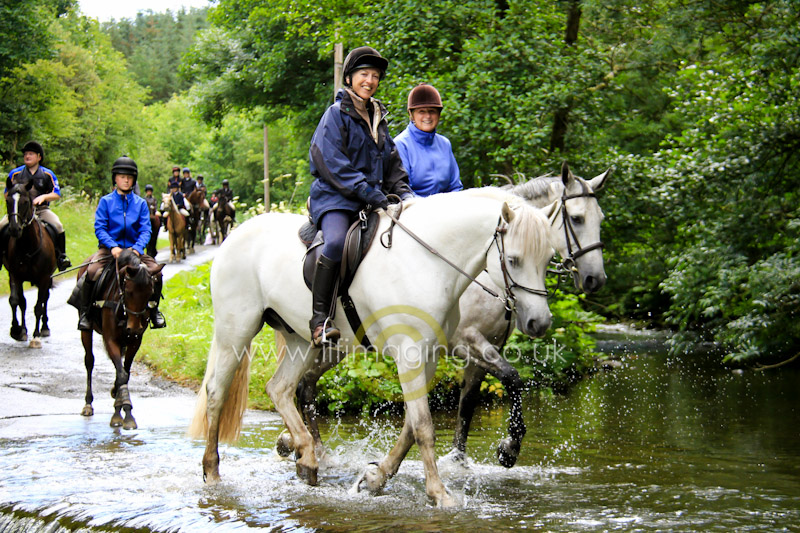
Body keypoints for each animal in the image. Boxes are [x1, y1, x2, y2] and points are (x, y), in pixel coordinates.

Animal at [2, 181, 57, 348]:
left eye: (25, 202)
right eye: (8, 201)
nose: (15, 229)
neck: (27, 246)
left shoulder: (44, 278)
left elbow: (38, 306)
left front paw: (36, 336)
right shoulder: (15, 275)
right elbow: (16, 301)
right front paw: (17, 330)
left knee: (45, 299)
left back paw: (44, 328)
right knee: (23, 302)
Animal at [79, 248, 165, 428]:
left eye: (151, 292)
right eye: (129, 292)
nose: (134, 327)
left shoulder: (135, 341)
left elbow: (124, 372)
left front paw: (121, 405)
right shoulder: (111, 339)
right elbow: (122, 375)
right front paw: (123, 411)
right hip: (86, 332)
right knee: (89, 361)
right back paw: (88, 404)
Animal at [191, 188, 556, 508]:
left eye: (548, 258)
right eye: (513, 259)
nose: (539, 322)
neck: (428, 263)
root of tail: (235, 235)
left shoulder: (428, 357)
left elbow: (410, 425)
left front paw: (375, 478)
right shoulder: (412, 355)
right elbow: (423, 426)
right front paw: (440, 493)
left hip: (302, 339)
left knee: (280, 389)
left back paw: (307, 458)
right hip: (236, 331)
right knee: (217, 392)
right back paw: (212, 471)